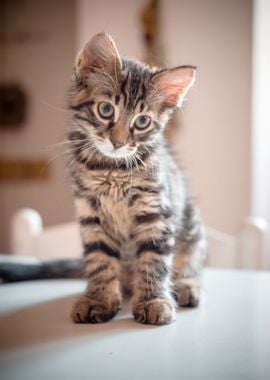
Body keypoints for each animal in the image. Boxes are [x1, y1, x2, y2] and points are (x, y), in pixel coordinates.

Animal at [67, 31, 207, 326]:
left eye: (142, 122)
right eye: (106, 110)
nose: (118, 143)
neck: (111, 170)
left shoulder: (155, 212)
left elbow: (154, 262)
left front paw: (154, 301)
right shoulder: (91, 216)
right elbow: (100, 261)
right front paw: (99, 300)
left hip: (193, 229)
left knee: (188, 264)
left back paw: (186, 286)